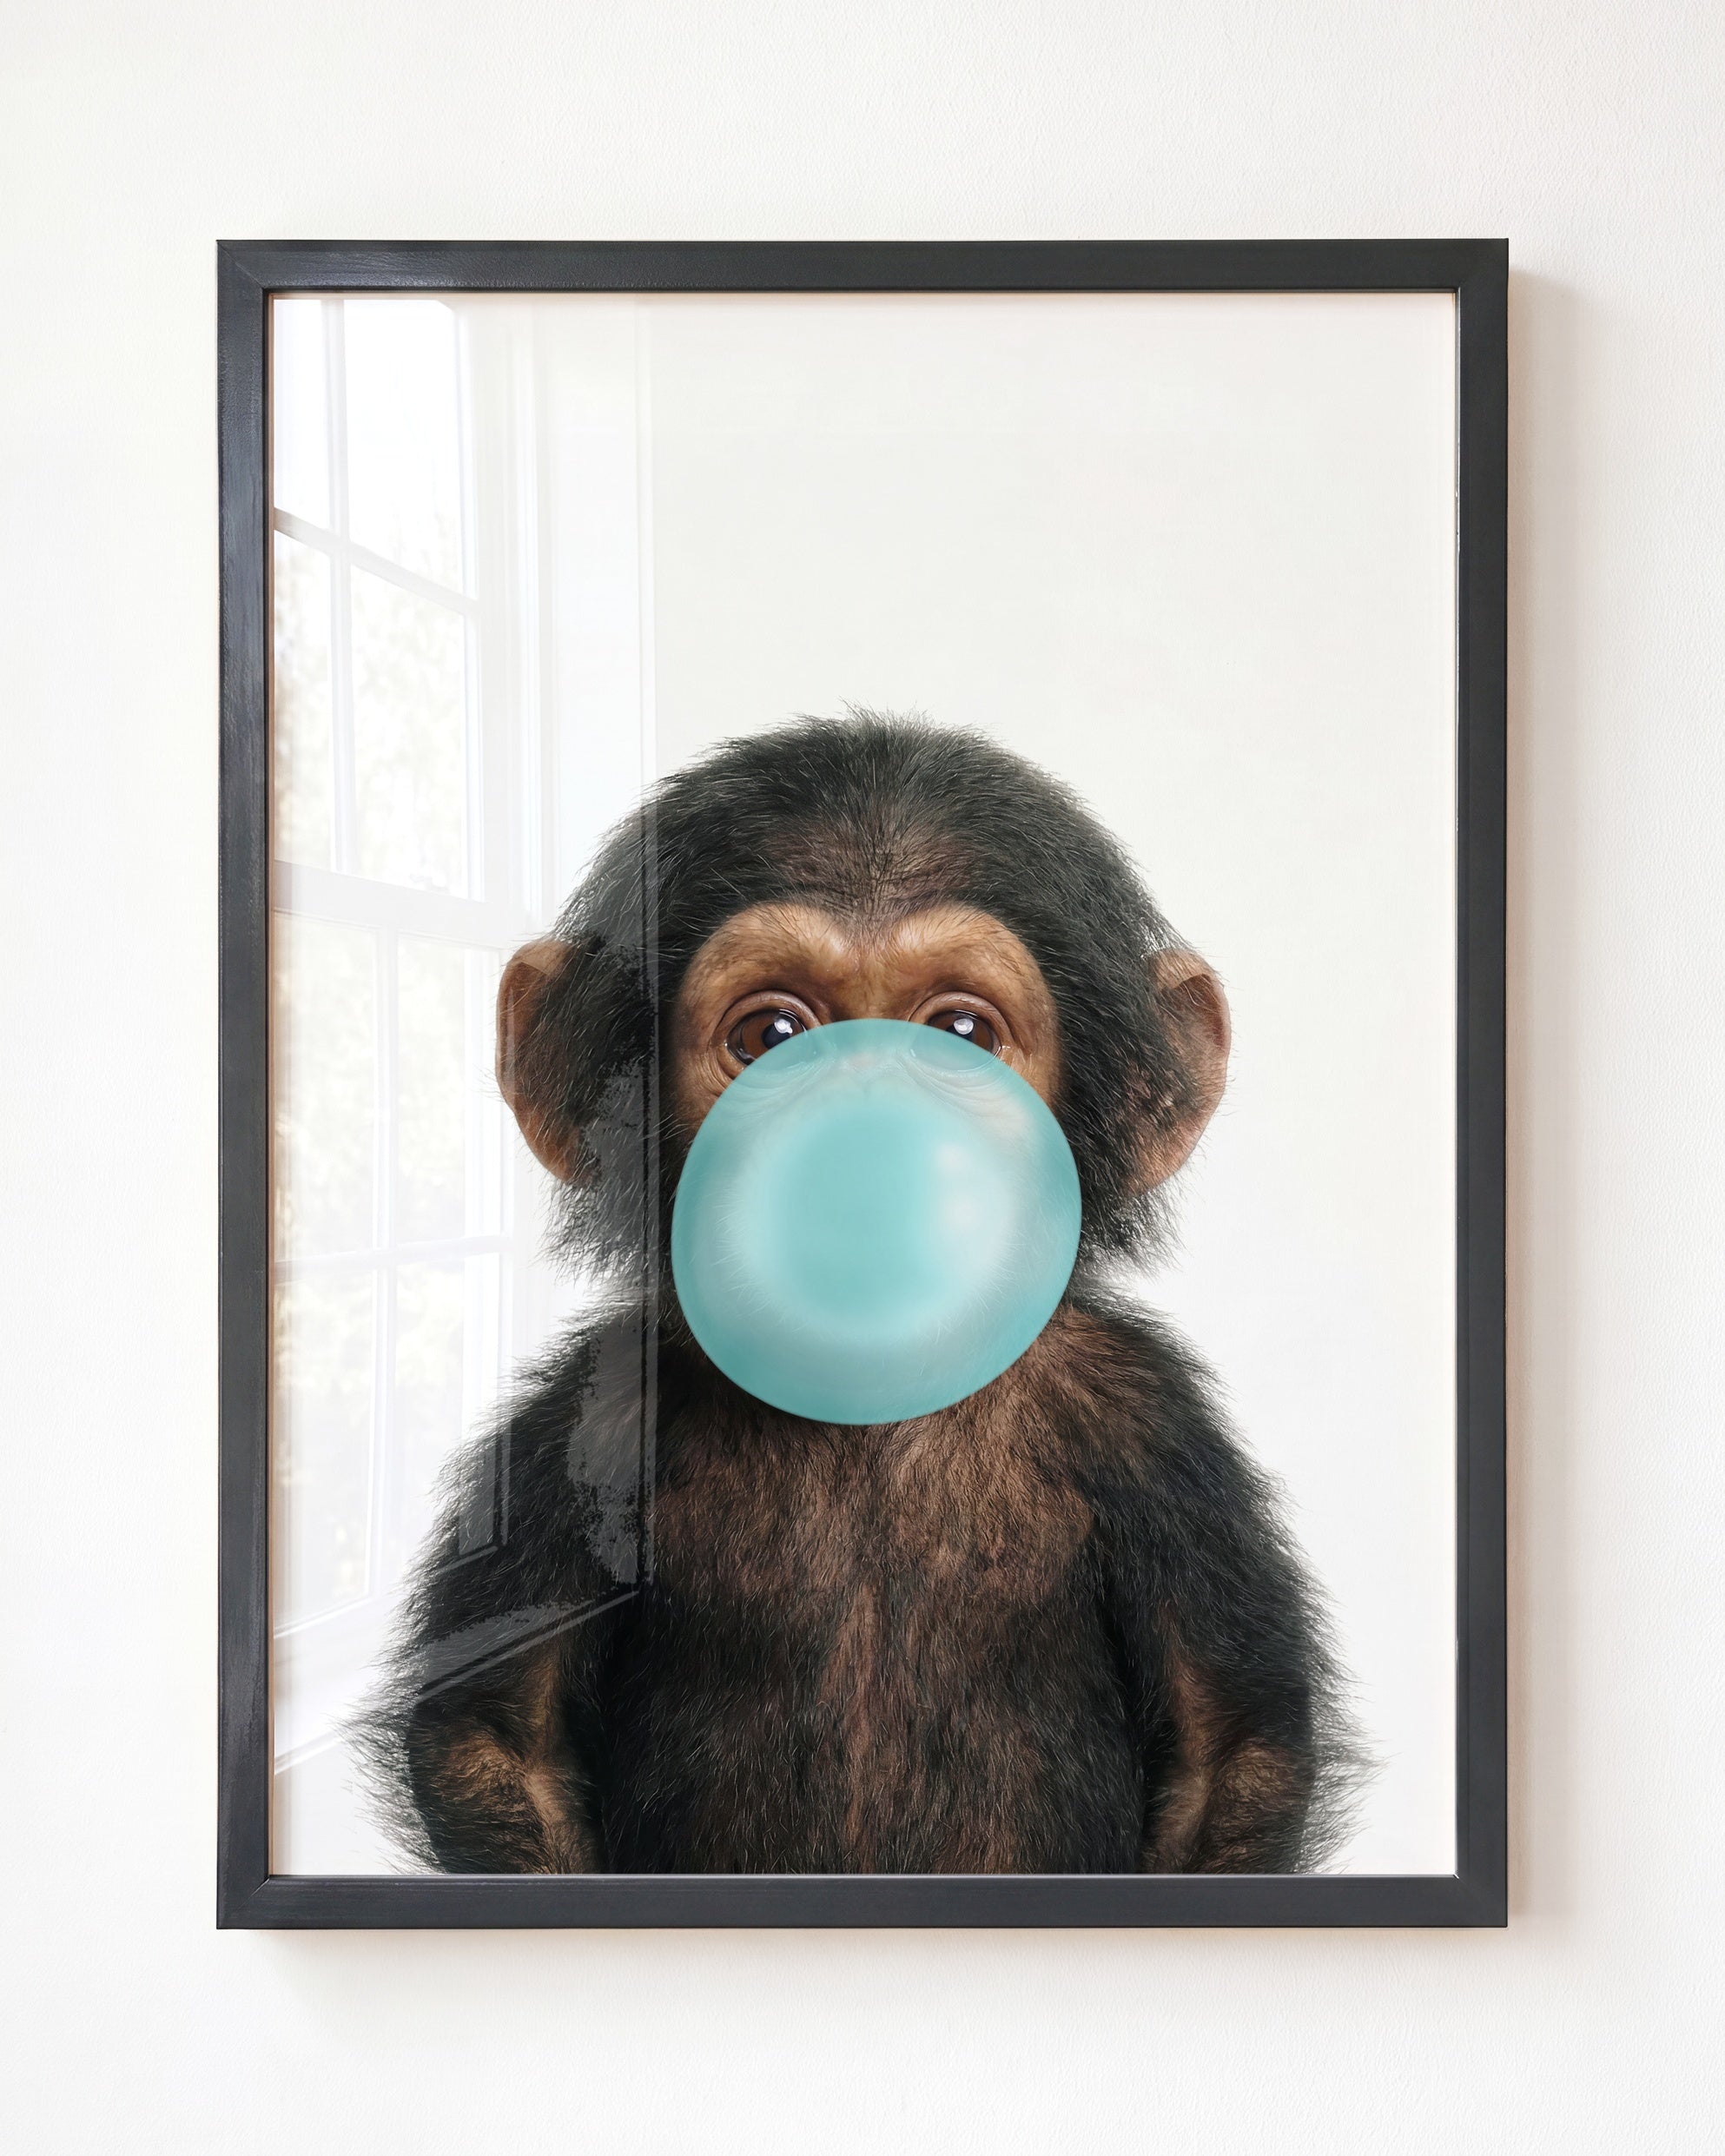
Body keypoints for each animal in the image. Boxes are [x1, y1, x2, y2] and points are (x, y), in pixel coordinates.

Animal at [358, 712, 1363, 1875]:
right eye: (772, 1035)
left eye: (962, 1033)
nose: (864, 1142)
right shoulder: (584, 1420)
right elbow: (496, 1734)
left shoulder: (1152, 1426)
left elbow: (1227, 1746)